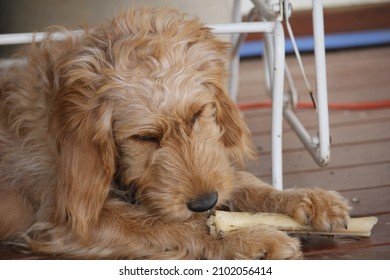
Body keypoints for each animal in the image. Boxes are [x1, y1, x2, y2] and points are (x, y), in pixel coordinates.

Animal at [0, 7, 348, 260]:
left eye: (197, 115)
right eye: (144, 138)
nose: (205, 202)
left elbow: (239, 179)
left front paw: (301, 198)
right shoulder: (69, 220)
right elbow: (165, 225)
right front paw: (248, 240)